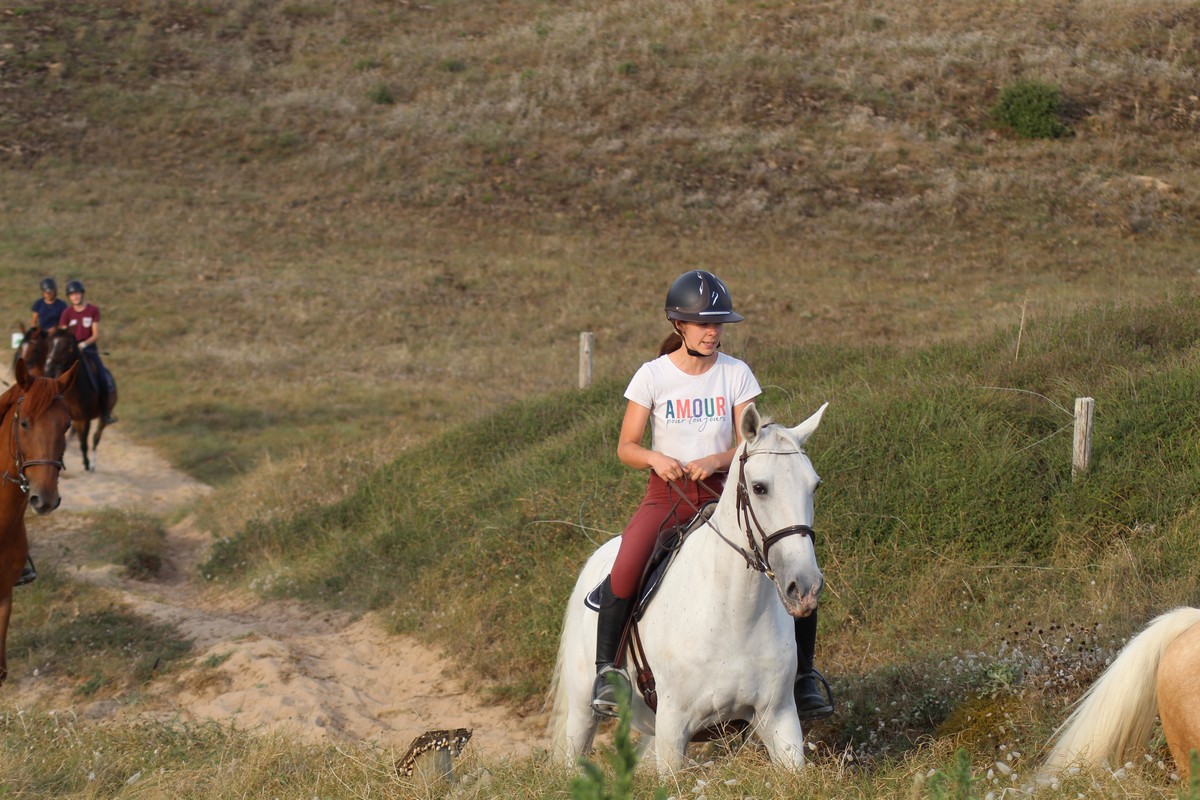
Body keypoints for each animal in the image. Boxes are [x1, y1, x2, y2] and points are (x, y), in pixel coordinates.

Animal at [43, 329, 114, 472]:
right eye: (49, 344)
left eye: (65, 346)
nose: (49, 368)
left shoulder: (84, 419)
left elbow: (84, 443)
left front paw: (86, 464)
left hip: (103, 417)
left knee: (95, 438)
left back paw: (92, 465)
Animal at [548, 402, 829, 774]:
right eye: (759, 487)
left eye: (814, 486)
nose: (805, 586)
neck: (733, 613)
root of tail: (596, 558)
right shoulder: (673, 726)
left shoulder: (779, 718)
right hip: (583, 714)